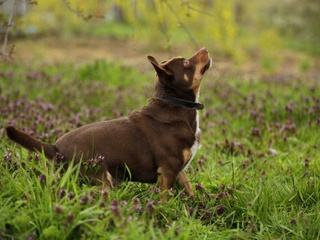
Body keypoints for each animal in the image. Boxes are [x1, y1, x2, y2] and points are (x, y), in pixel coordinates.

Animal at [6, 47, 211, 198]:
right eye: (185, 63)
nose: (204, 48)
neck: (175, 103)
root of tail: (55, 148)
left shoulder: (179, 170)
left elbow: (189, 189)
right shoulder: (168, 170)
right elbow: (166, 199)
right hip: (102, 179)